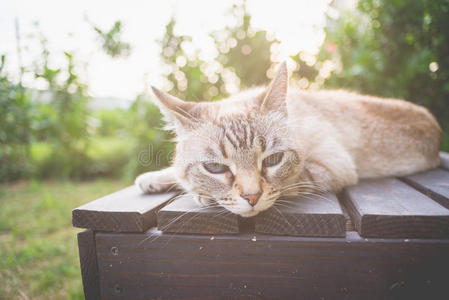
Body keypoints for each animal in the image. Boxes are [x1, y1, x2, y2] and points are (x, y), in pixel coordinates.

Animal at [135, 62, 440, 217]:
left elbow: (292, 181)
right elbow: (177, 173)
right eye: (216, 168)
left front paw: (200, 194)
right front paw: (156, 178)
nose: (251, 198)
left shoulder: (332, 165)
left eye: (272, 160)